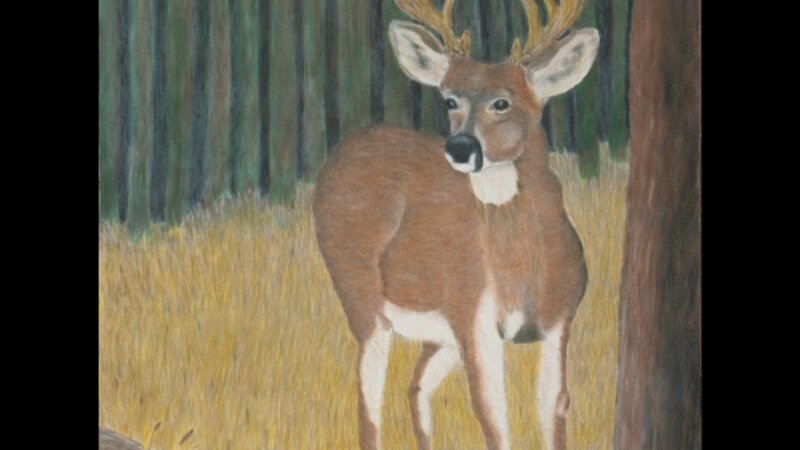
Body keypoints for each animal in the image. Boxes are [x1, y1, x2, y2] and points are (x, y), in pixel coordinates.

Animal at [312, 1, 596, 449]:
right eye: (449, 100)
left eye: (503, 102)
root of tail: (344, 147)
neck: (520, 269)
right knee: (368, 402)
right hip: (361, 294)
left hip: (437, 335)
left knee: (415, 386)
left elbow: (554, 409)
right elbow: (492, 416)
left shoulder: (560, 318)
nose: (461, 147)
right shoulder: (472, 312)